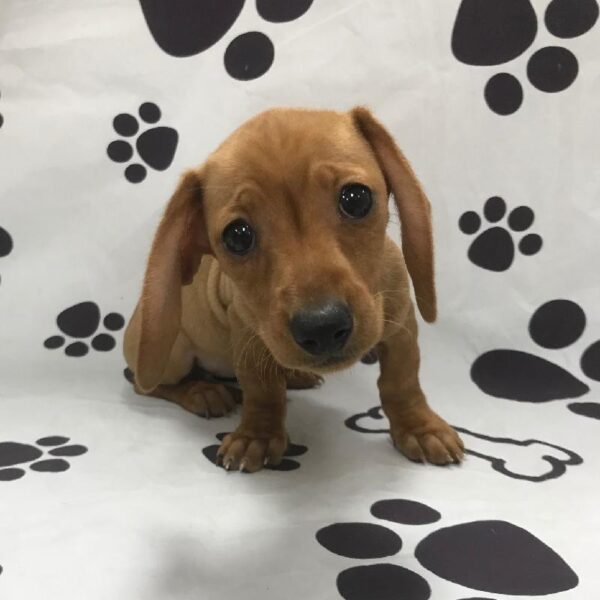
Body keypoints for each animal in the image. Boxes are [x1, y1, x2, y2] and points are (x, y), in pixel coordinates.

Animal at [124, 108, 466, 474]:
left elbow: (402, 381)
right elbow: (262, 392)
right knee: (148, 385)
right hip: (170, 354)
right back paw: (201, 392)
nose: (323, 327)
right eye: (237, 236)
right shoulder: (249, 340)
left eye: (356, 198)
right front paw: (257, 435)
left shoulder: (401, 326)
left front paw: (419, 428)